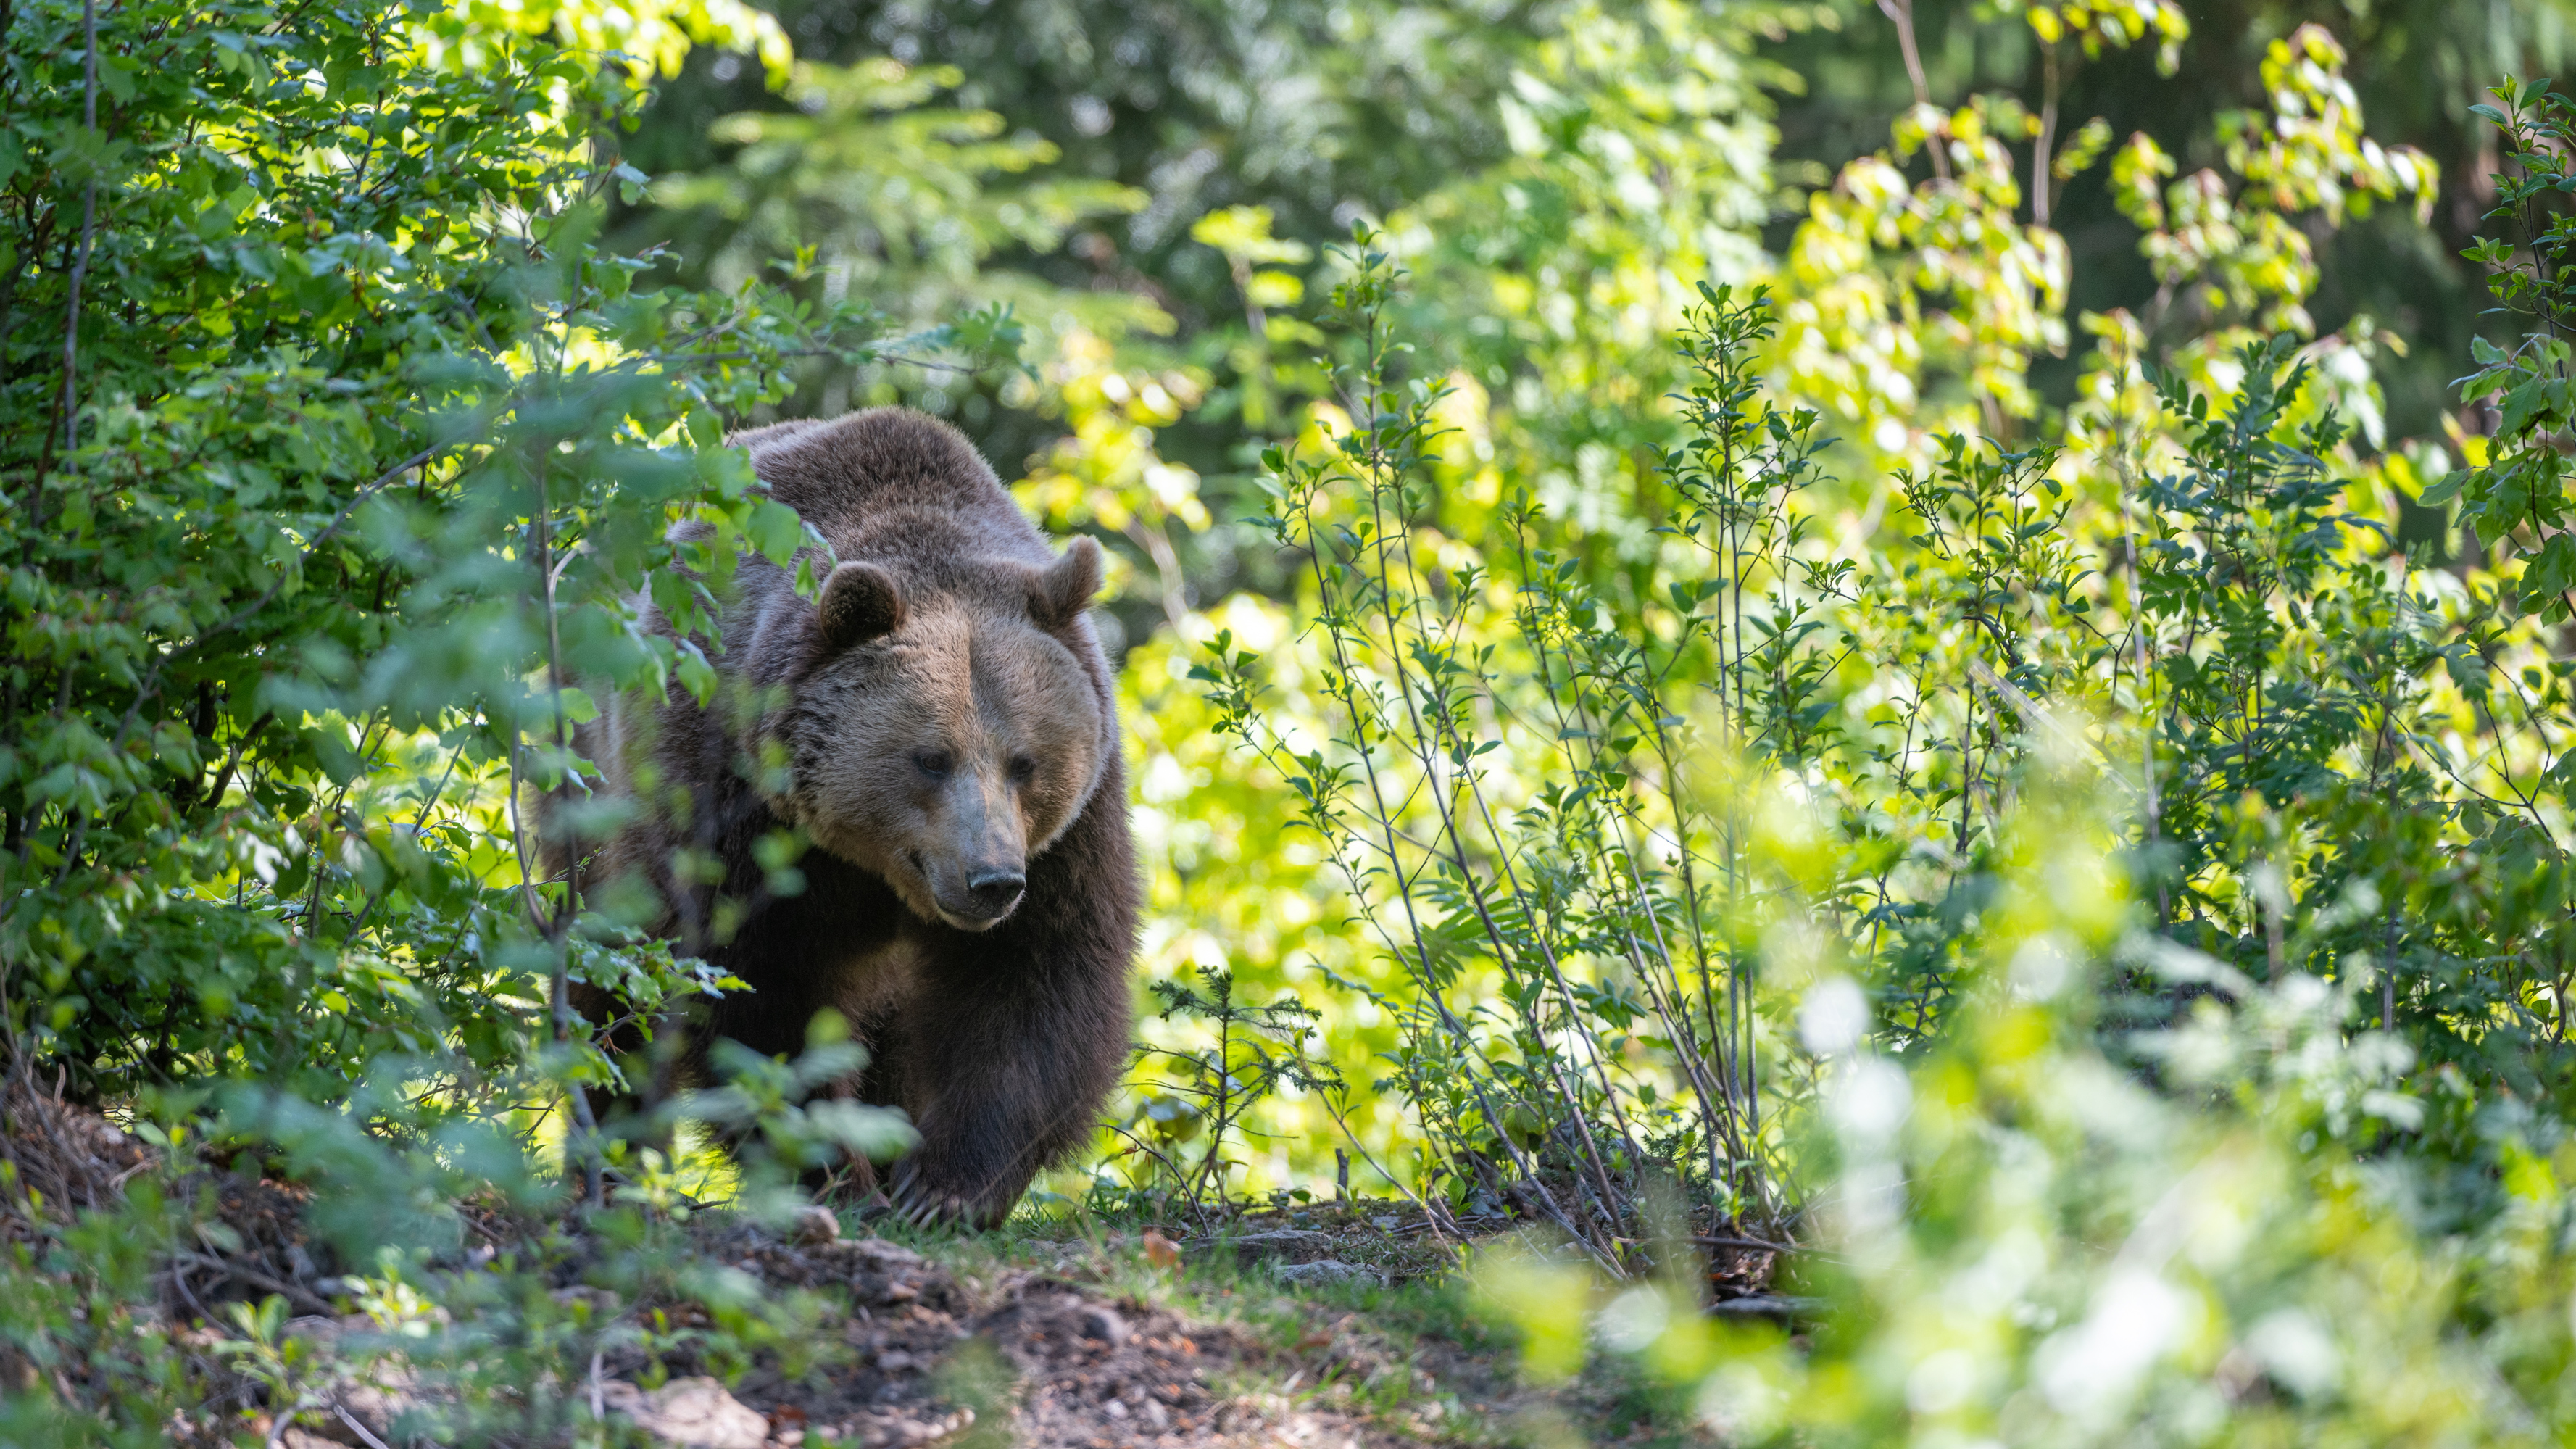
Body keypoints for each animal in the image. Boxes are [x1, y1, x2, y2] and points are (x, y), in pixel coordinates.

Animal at [584, 402, 1149, 1216]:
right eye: (930, 757)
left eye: (1026, 761)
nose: (990, 880)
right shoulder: (724, 790)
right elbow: (753, 982)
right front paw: (833, 1171)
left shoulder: (1071, 833)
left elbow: (1035, 975)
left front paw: (944, 1186)